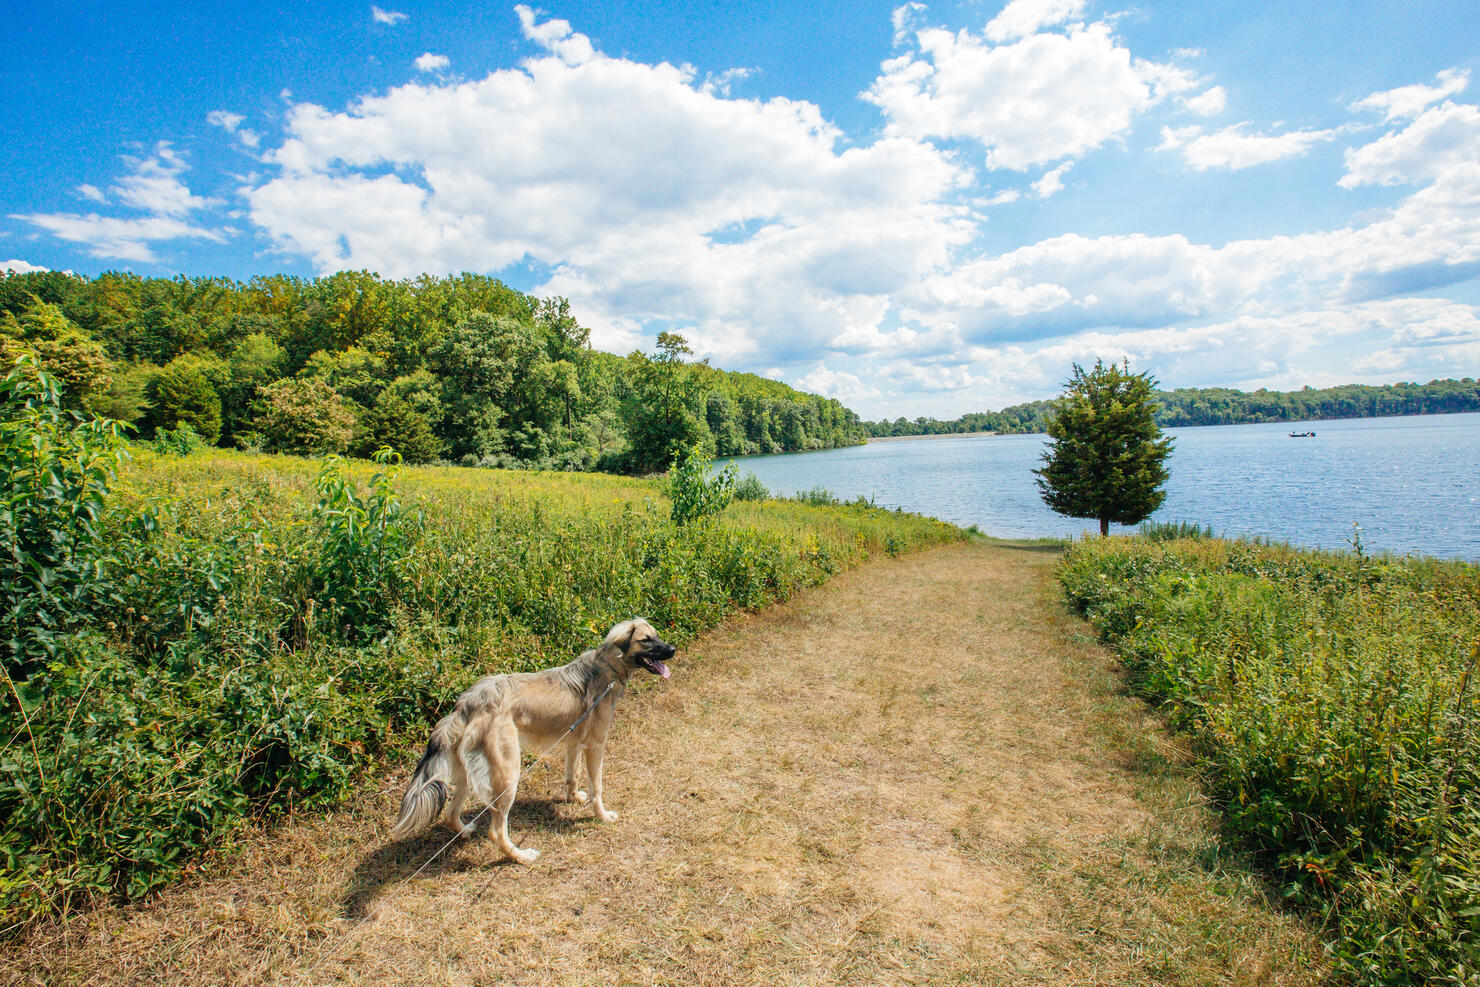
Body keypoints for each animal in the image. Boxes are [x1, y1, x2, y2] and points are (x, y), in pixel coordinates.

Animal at [387, 618, 677, 864]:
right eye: (646, 640)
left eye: (657, 635)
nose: (673, 649)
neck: (607, 667)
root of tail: (469, 701)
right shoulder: (596, 746)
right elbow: (597, 788)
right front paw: (602, 816)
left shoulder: (574, 742)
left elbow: (572, 776)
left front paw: (573, 798)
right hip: (508, 774)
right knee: (496, 831)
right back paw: (521, 856)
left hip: (469, 773)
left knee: (449, 814)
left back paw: (465, 830)